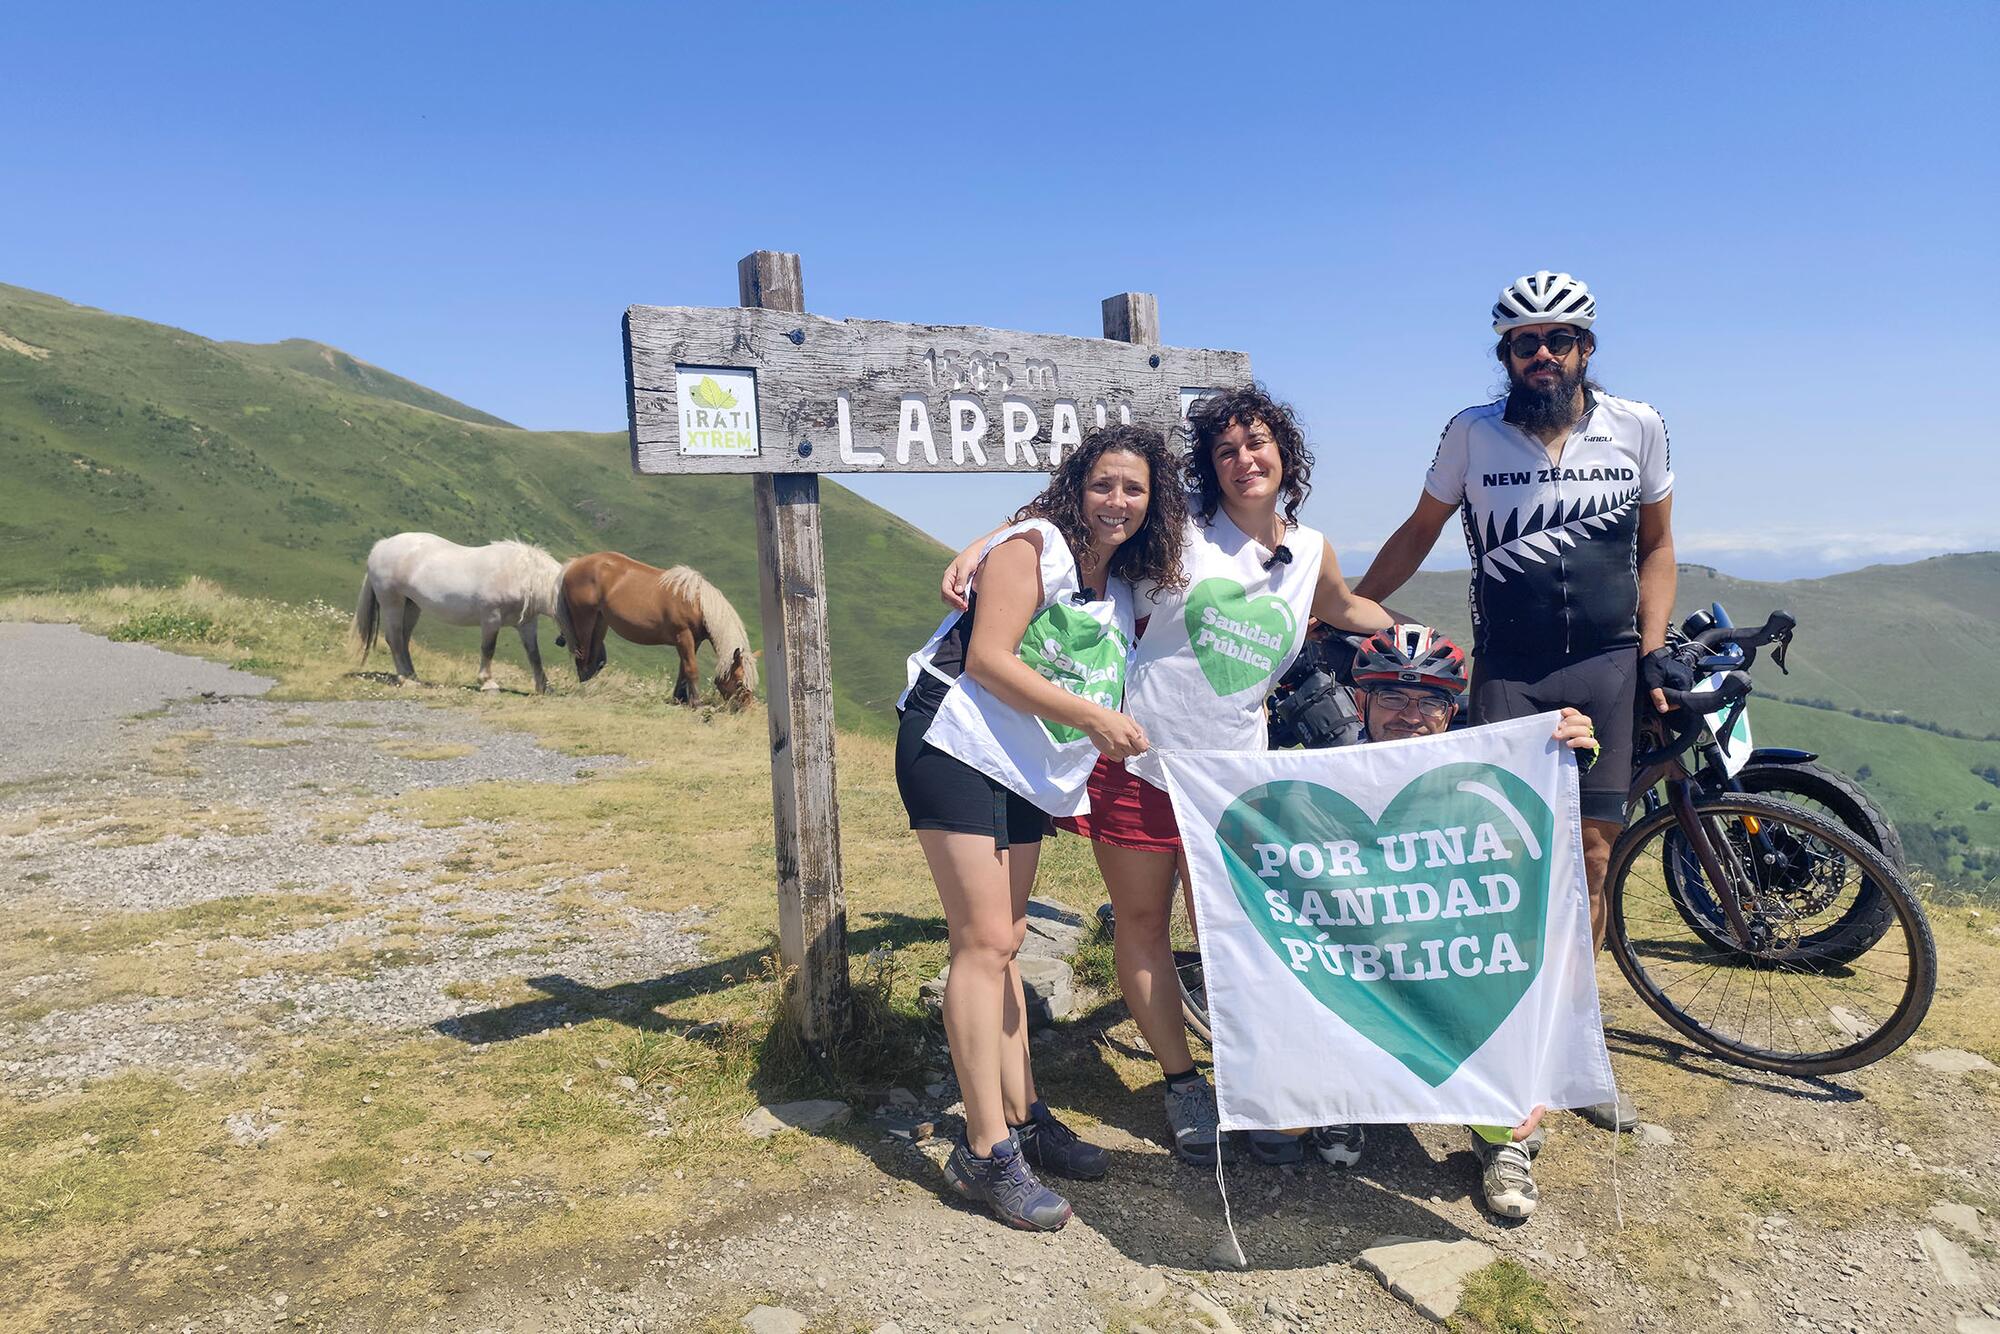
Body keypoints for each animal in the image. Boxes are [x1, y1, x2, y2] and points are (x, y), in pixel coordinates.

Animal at [350, 536, 572, 700]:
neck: (521, 574)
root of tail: (382, 545)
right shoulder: (491, 617)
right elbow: (488, 649)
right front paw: (488, 684)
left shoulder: (527, 624)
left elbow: (534, 655)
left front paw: (544, 687)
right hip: (392, 603)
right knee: (394, 638)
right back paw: (407, 680)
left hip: (411, 605)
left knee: (404, 639)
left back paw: (412, 675)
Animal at [556, 552, 756, 708]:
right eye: (739, 682)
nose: (746, 709)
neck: (697, 602)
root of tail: (574, 564)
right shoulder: (683, 636)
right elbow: (691, 669)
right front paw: (696, 703)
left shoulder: (694, 640)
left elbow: (683, 670)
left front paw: (680, 699)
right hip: (584, 619)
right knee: (582, 655)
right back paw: (584, 690)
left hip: (600, 623)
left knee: (593, 658)